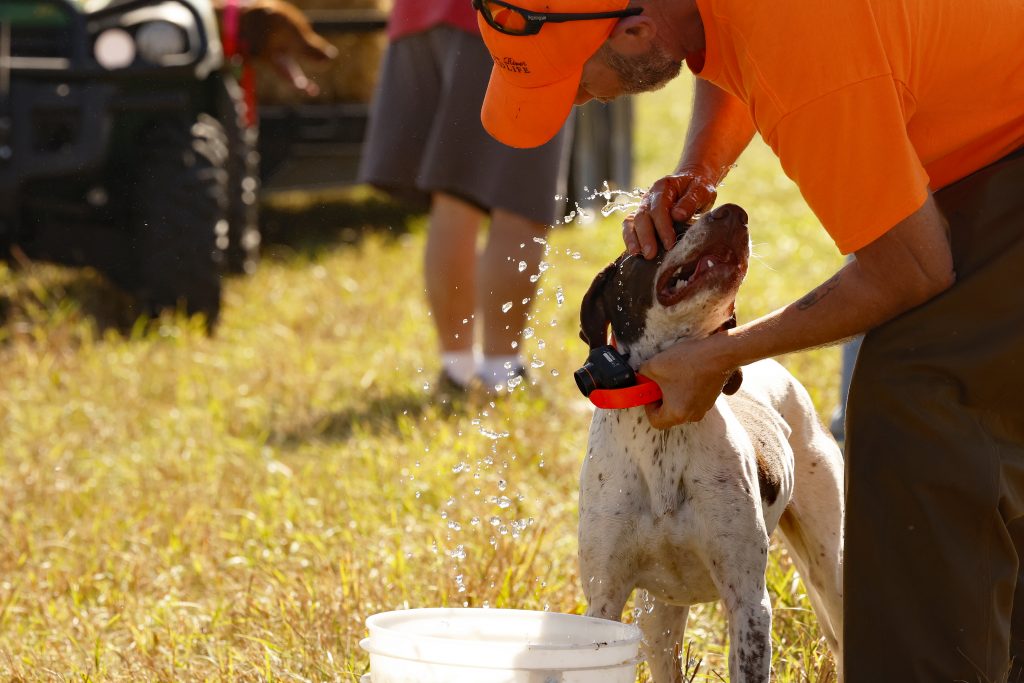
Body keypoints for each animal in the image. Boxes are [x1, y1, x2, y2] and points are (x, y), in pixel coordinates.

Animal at [581, 204, 843, 683]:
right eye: (671, 226)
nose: (733, 212)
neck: (663, 435)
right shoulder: (604, 599)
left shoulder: (748, 602)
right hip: (658, 616)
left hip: (826, 566)